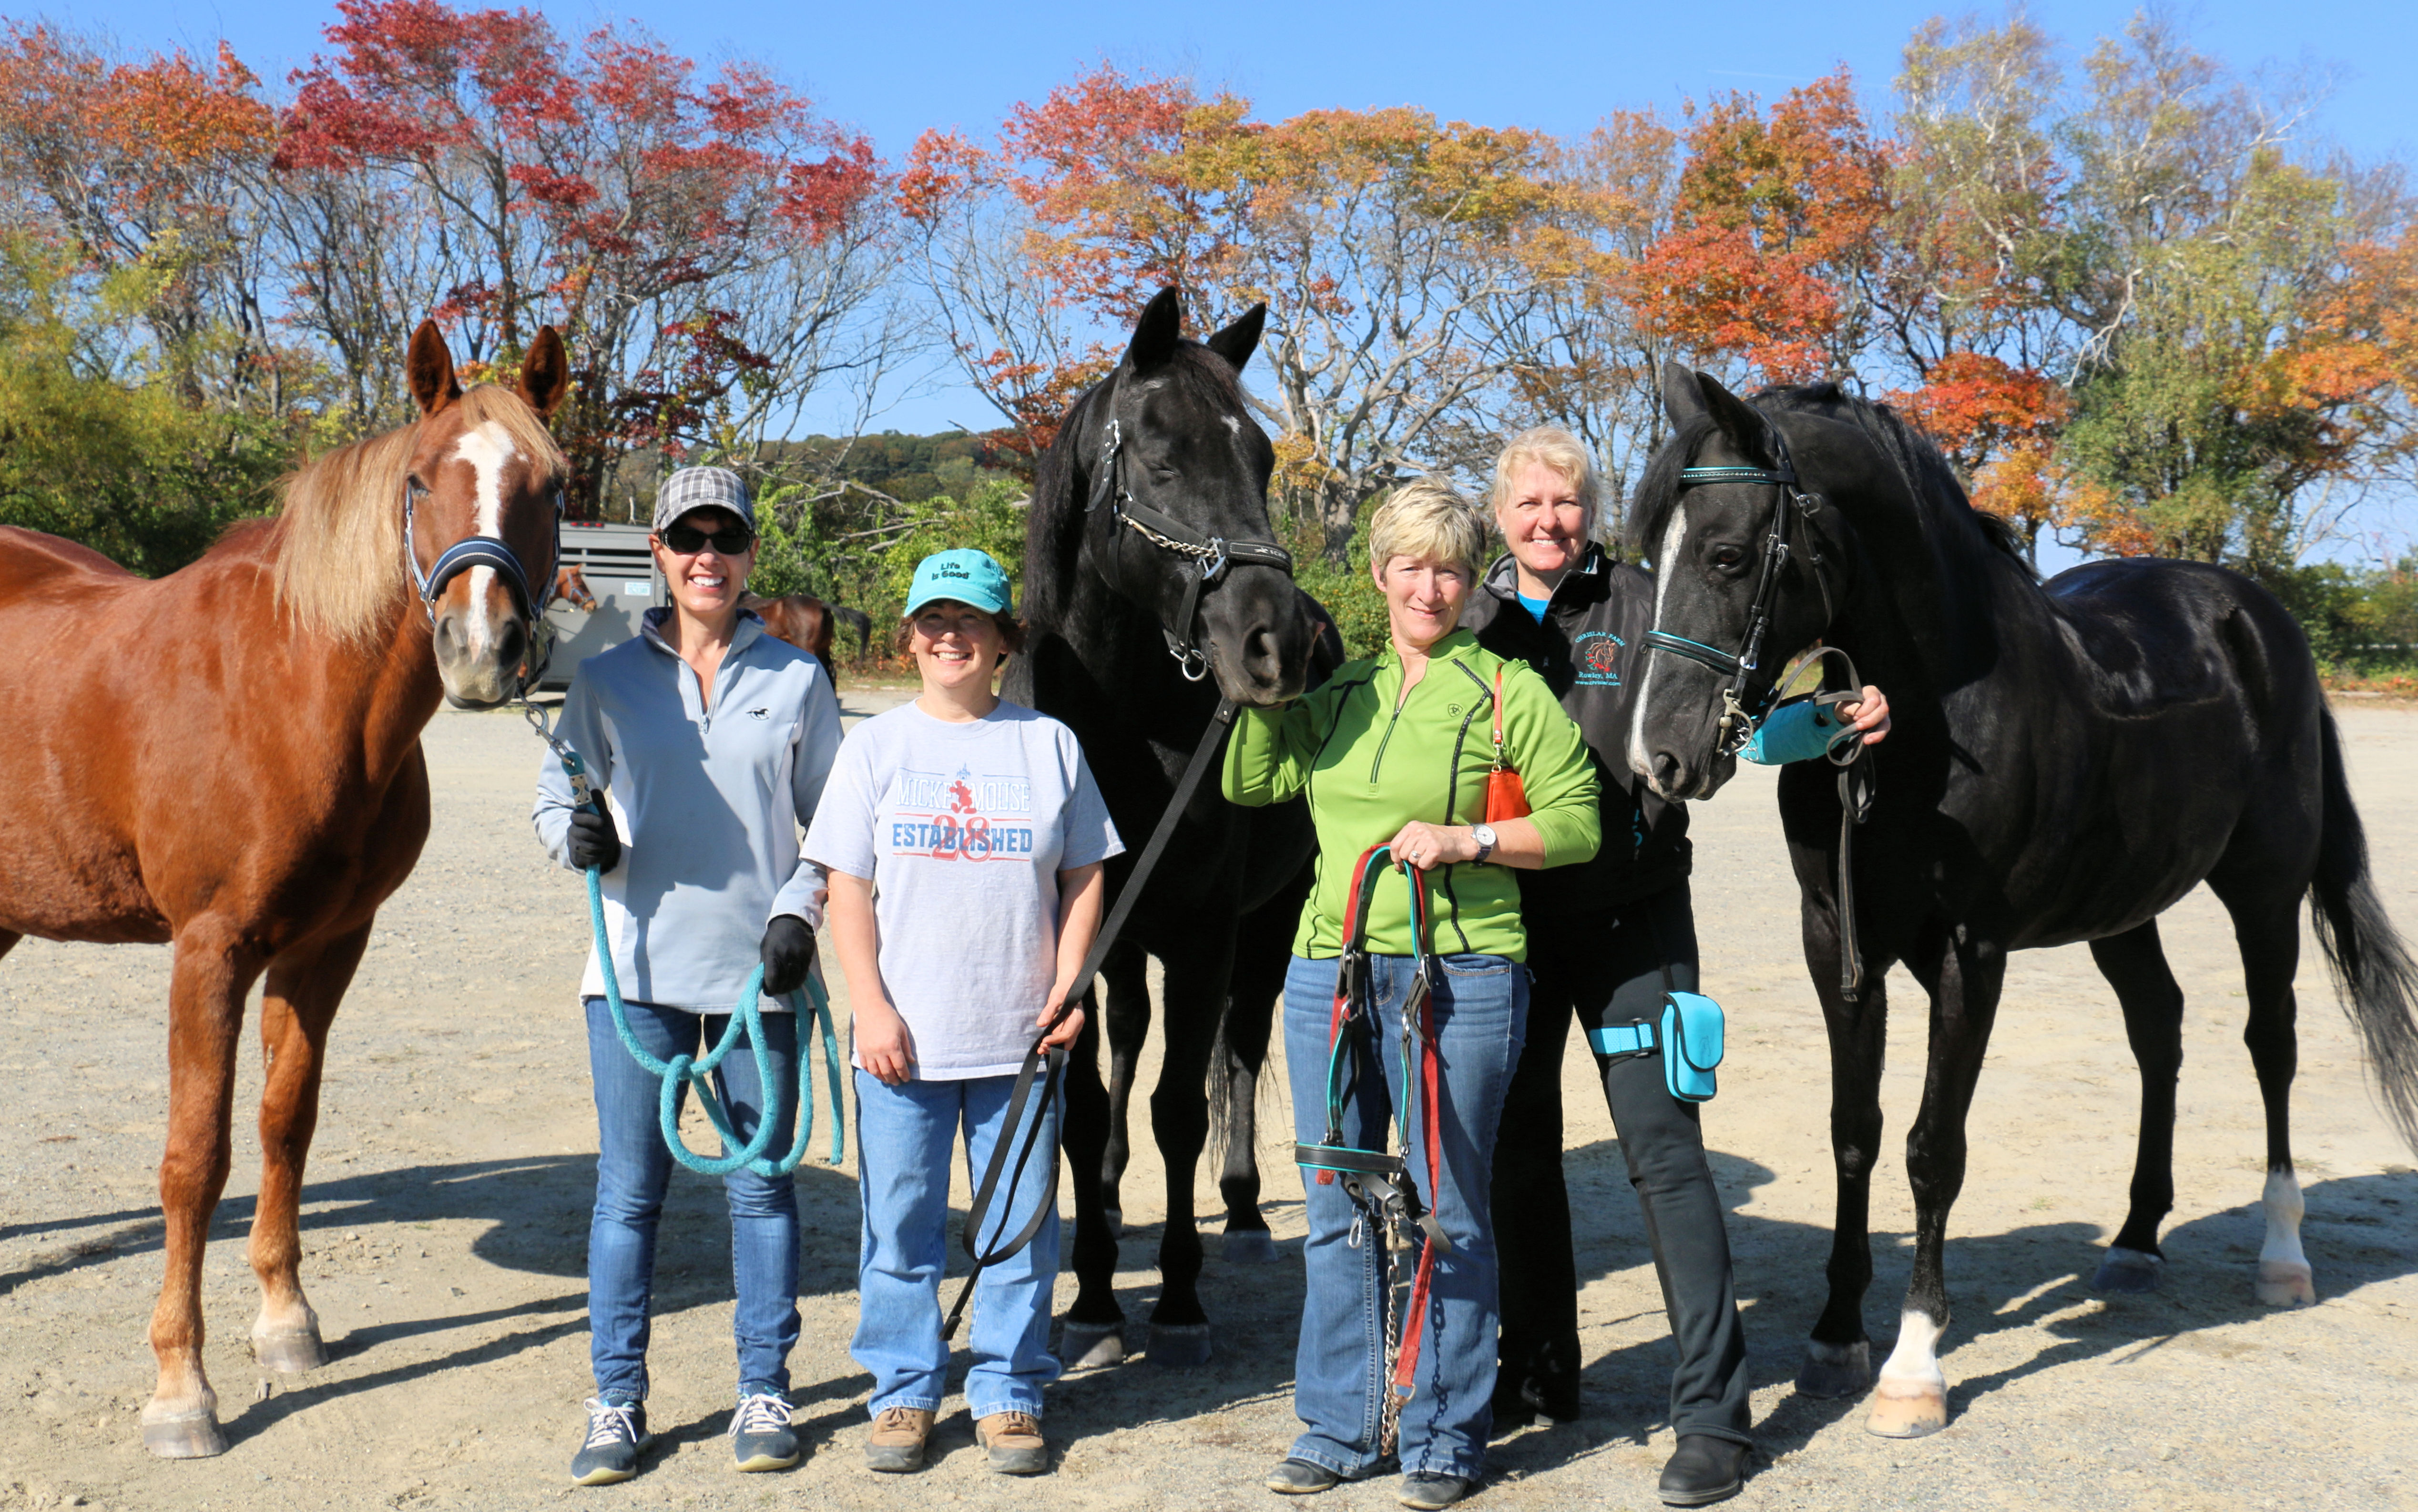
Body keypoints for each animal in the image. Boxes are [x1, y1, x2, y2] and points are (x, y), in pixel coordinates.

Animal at [0, 324, 571, 1461]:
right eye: (418, 480)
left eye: (553, 484)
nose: (480, 651)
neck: (294, 688)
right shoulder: (209, 948)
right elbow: (194, 1156)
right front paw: (181, 1389)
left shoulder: (328, 943)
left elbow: (283, 1123)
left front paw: (287, 1323)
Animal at [1006, 289, 1344, 1364]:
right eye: (1161, 462)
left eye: (1264, 462)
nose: (1275, 643)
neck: (1123, 725)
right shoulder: (1082, 942)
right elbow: (1083, 1109)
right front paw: (1094, 1294)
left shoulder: (1203, 935)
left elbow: (1182, 1107)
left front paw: (1181, 1292)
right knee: (1125, 1041)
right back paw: (1114, 1196)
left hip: (1268, 920)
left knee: (1239, 1044)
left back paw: (1237, 1208)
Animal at [1625, 363, 2418, 1441]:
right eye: (1642, 553)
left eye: (1726, 553)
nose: (1656, 758)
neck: (1928, 724)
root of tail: (2252, 616)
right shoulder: (1836, 939)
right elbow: (1852, 1129)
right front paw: (1834, 1338)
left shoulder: (1971, 951)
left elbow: (1932, 1148)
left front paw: (1912, 1365)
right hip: (2125, 907)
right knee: (2158, 1030)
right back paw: (2134, 1239)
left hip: (2263, 888)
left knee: (2271, 1043)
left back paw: (2281, 1254)